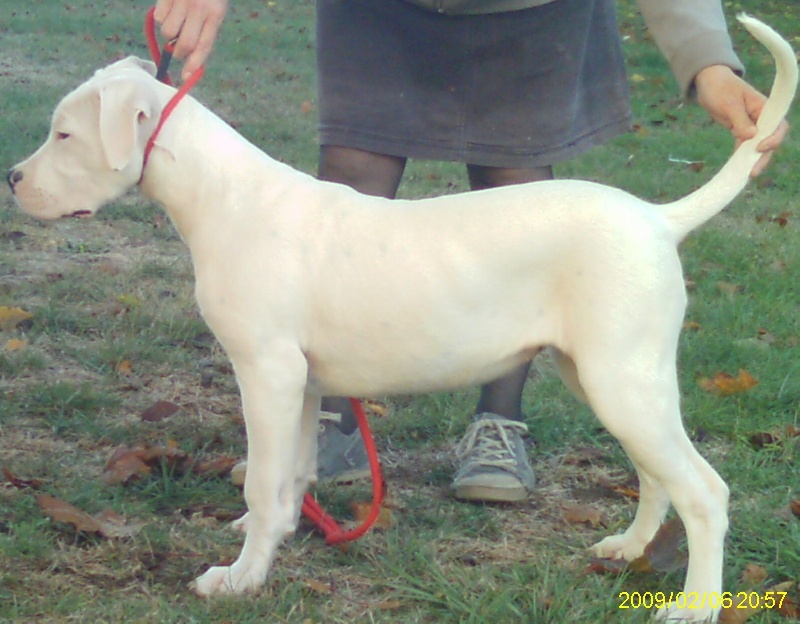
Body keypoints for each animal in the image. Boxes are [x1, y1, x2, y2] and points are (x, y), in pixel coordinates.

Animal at [9, 15, 796, 624]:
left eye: (66, 136)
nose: (12, 179)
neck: (221, 195)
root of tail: (657, 219)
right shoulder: (299, 380)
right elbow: (290, 473)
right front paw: (276, 537)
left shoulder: (265, 371)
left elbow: (262, 478)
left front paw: (239, 578)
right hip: (604, 375)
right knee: (658, 474)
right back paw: (629, 550)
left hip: (620, 378)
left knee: (704, 491)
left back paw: (693, 606)